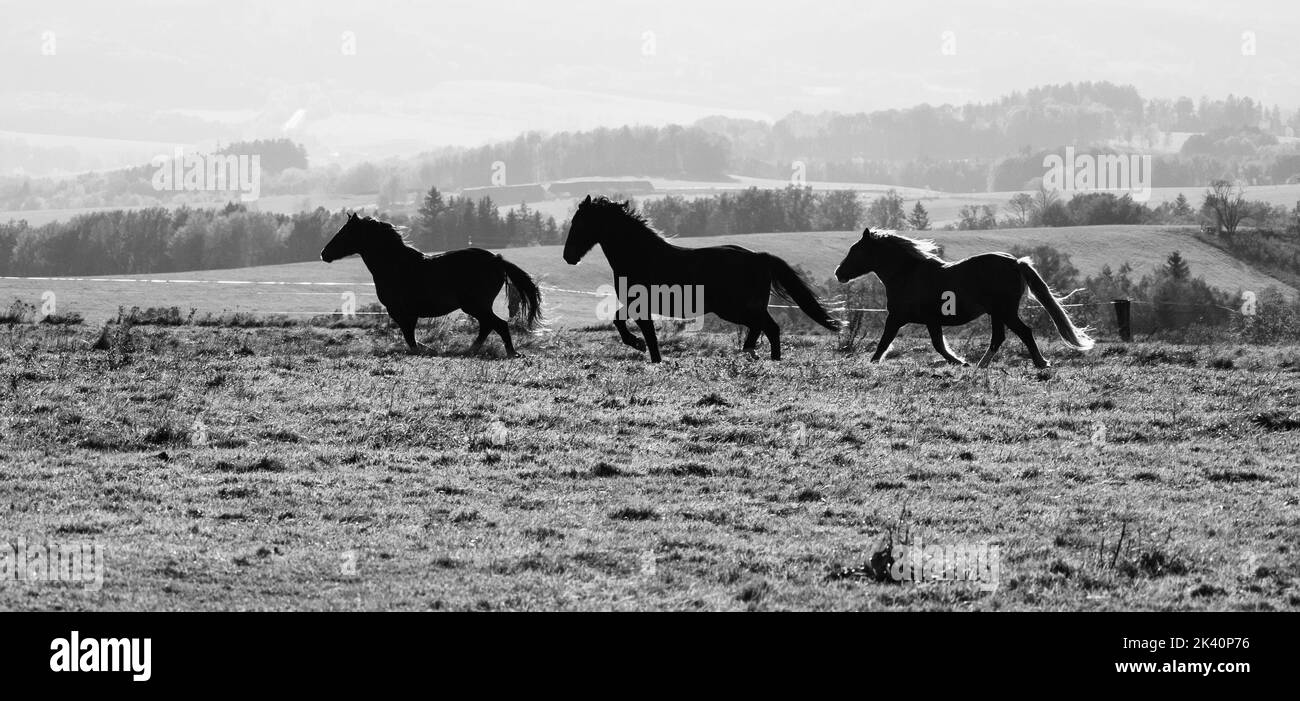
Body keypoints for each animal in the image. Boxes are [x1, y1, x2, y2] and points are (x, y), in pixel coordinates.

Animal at [321, 213, 541, 357]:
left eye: (345, 233)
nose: (324, 253)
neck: (395, 265)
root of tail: (497, 259)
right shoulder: (405, 313)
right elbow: (411, 338)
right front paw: (430, 349)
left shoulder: (401, 312)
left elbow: (410, 339)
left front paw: (427, 350)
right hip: (477, 306)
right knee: (488, 326)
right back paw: (471, 350)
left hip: (475, 305)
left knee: (498, 324)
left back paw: (509, 353)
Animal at [562, 195, 840, 363]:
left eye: (580, 223)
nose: (568, 257)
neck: (641, 255)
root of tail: (759, 257)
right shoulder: (640, 306)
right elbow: (640, 330)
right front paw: (653, 357)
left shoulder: (638, 304)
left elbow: (628, 326)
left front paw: (638, 345)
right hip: (745, 308)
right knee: (767, 328)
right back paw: (760, 356)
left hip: (736, 308)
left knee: (767, 328)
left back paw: (752, 354)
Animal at [833, 228, 1094, 368]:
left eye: (856, 250)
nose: (838, 273)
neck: (906, 274)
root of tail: (1015, 262)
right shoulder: (931, 321)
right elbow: (938, 345)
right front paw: (960, 362)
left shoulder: (897, 317)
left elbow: (885, 342)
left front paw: (872, 363)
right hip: (997, 313)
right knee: (998, 338)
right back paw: (981, 365)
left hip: (1005, 311)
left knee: (1024, 332)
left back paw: (1040, 363)